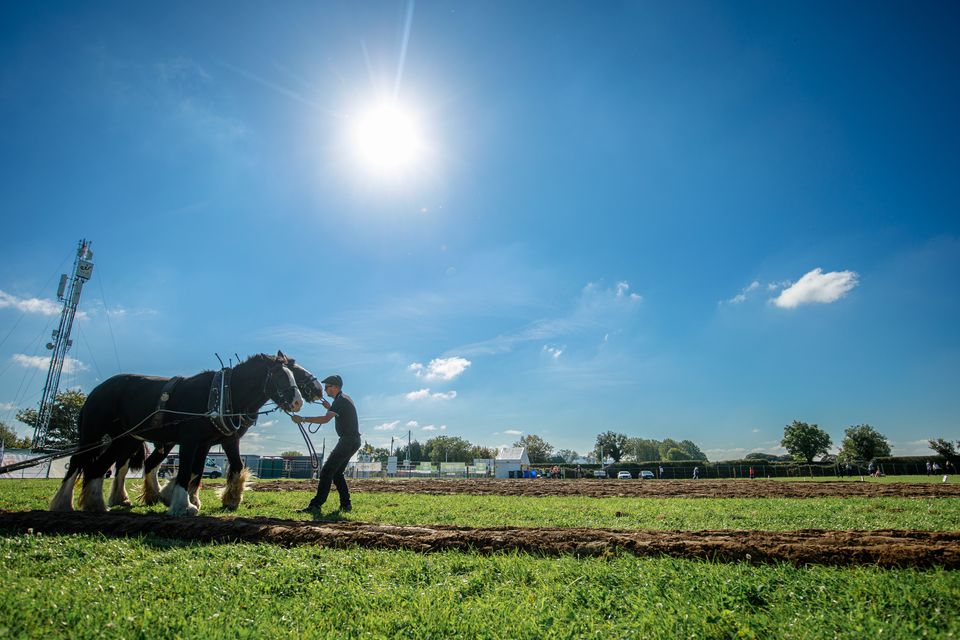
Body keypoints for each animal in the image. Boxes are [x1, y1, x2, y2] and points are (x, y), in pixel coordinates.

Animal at [49, 350, 304, 516]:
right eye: (280, 376)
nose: (298, 401)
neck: (224, 393)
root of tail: (98, 389)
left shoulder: (214, 441)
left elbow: (204, 470)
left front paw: (214, 499)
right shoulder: (190, 439)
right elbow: (185, 470)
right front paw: (183, 503)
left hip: (125, 439)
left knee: (102, 467)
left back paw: (100, 504)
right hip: (92, 433)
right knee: (78, 462)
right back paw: (64, 504)